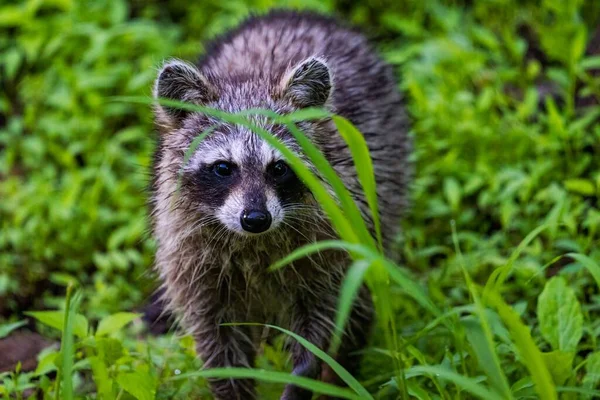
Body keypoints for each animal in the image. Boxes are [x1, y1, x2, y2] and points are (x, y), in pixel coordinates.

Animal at [152, 9, 410, 400]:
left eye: (279, 168)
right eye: (223, 168)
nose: (256, 218)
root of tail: (299, 14)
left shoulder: (330, 242)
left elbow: (324, 317)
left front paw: (306, 374)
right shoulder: (192, 259)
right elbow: (217, 338)